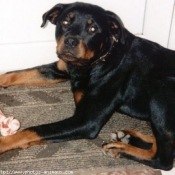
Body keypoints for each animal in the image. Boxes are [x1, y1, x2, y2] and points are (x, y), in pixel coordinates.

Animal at [0, 2, 175, 170]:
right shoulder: (60, 68)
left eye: (93, 29)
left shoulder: (86, 121)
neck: (97, 60)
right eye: (65, 22)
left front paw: (3, 143)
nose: (71, 41)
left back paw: (119, 148)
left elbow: (34, 130)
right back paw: (128, 137)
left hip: (161, 95)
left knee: (163, 159)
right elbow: (16, 74)